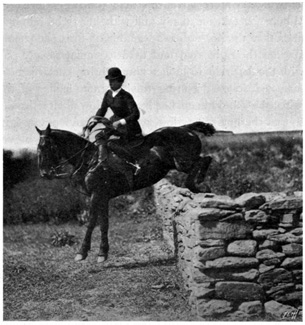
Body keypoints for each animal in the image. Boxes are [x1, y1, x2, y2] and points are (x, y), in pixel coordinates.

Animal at [35, 117, 215, 262]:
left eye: (47, 146)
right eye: (38, 148)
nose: (44, 173)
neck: (89, 159)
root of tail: (185, 129)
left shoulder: (96, 195)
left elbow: (92, 222)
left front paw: (82, 252)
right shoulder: (103, 197)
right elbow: (104, 223)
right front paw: (103, 253)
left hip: (183, 162)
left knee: (205, 159)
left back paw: (196, 183)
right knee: (204, 160)